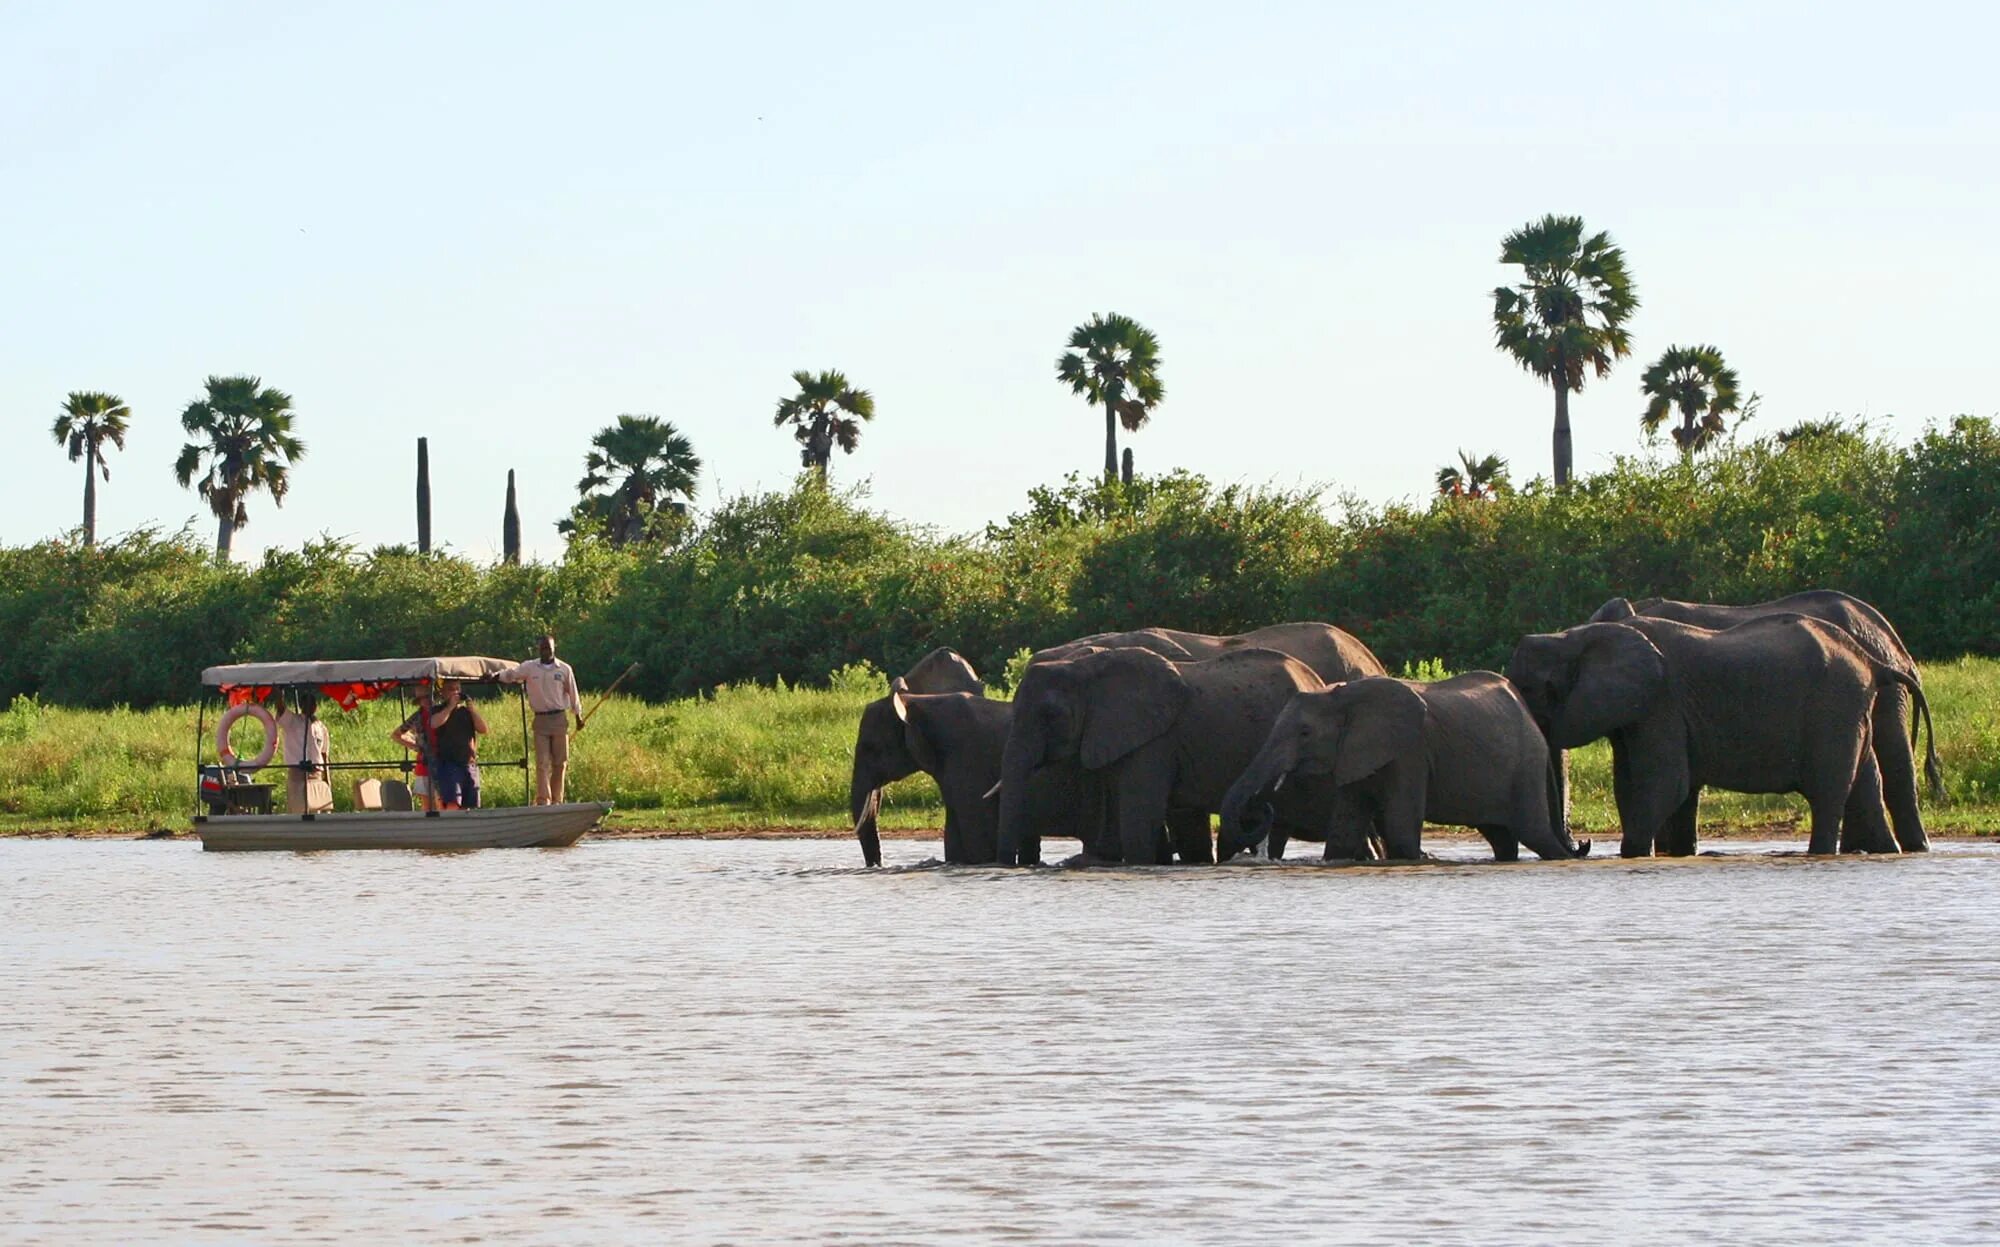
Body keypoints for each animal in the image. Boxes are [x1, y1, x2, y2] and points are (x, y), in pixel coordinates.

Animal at [1216, 671, 1576, 867]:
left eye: (1305, 733)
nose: (1262, 806)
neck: (1341, 695)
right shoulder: (1355, 753)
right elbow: (1343, 832)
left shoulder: (1410, 751)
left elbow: (1401, 830)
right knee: (1502, 838)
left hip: (1526, 765)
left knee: (1535, 833)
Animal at [1504, 615, 1928, 855]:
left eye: (1536, 690)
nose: (1584, 845)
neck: (1573, 636)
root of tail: (1873, 661)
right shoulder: (1638, 710)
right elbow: (1632, 783)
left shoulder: (1661, 701)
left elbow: (1664, 783)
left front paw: (1633, 855)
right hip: (1849, 710)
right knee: (1866, 784)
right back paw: (1887, 852)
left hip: (1832, 709)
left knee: (1828, 793)